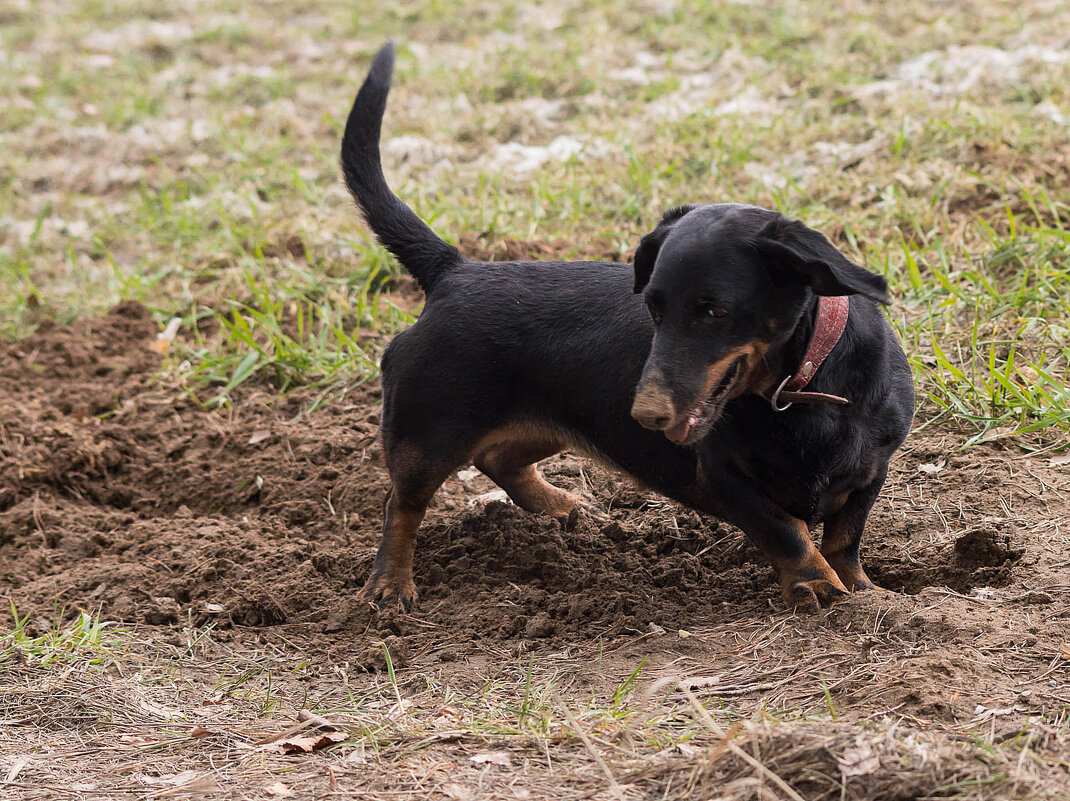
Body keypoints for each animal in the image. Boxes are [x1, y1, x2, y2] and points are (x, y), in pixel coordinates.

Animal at [340, 43, 911, 611]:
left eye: (715, 312)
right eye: (654, 310)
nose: (646, 415)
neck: (801, 389)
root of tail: (454, 270)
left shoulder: (871, 471)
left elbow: (845, 538)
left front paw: (865, 591)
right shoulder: (723, 478)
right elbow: (787, 531)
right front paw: (820, 587)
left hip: (555, 420)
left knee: (499, 457)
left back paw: (560, 506)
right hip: (427, 436)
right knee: (401, 504)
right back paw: (390, 585)